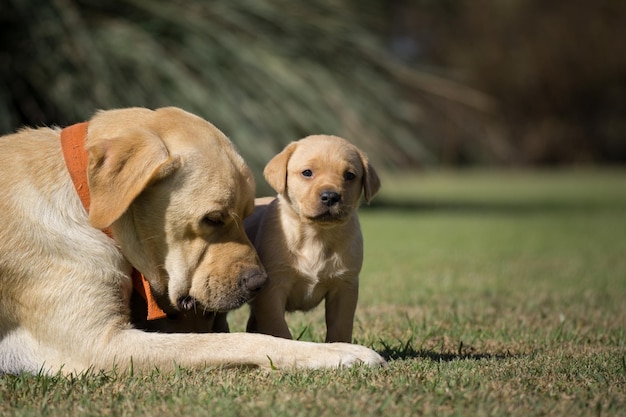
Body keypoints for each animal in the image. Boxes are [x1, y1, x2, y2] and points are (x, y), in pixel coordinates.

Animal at [244, 135, 380, 342]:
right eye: (307, 173)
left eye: (350, 175)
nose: (330, 196)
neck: (316, 235)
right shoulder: (273, 289)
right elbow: (278, 328)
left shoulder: (344, 287)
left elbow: (340, 327)